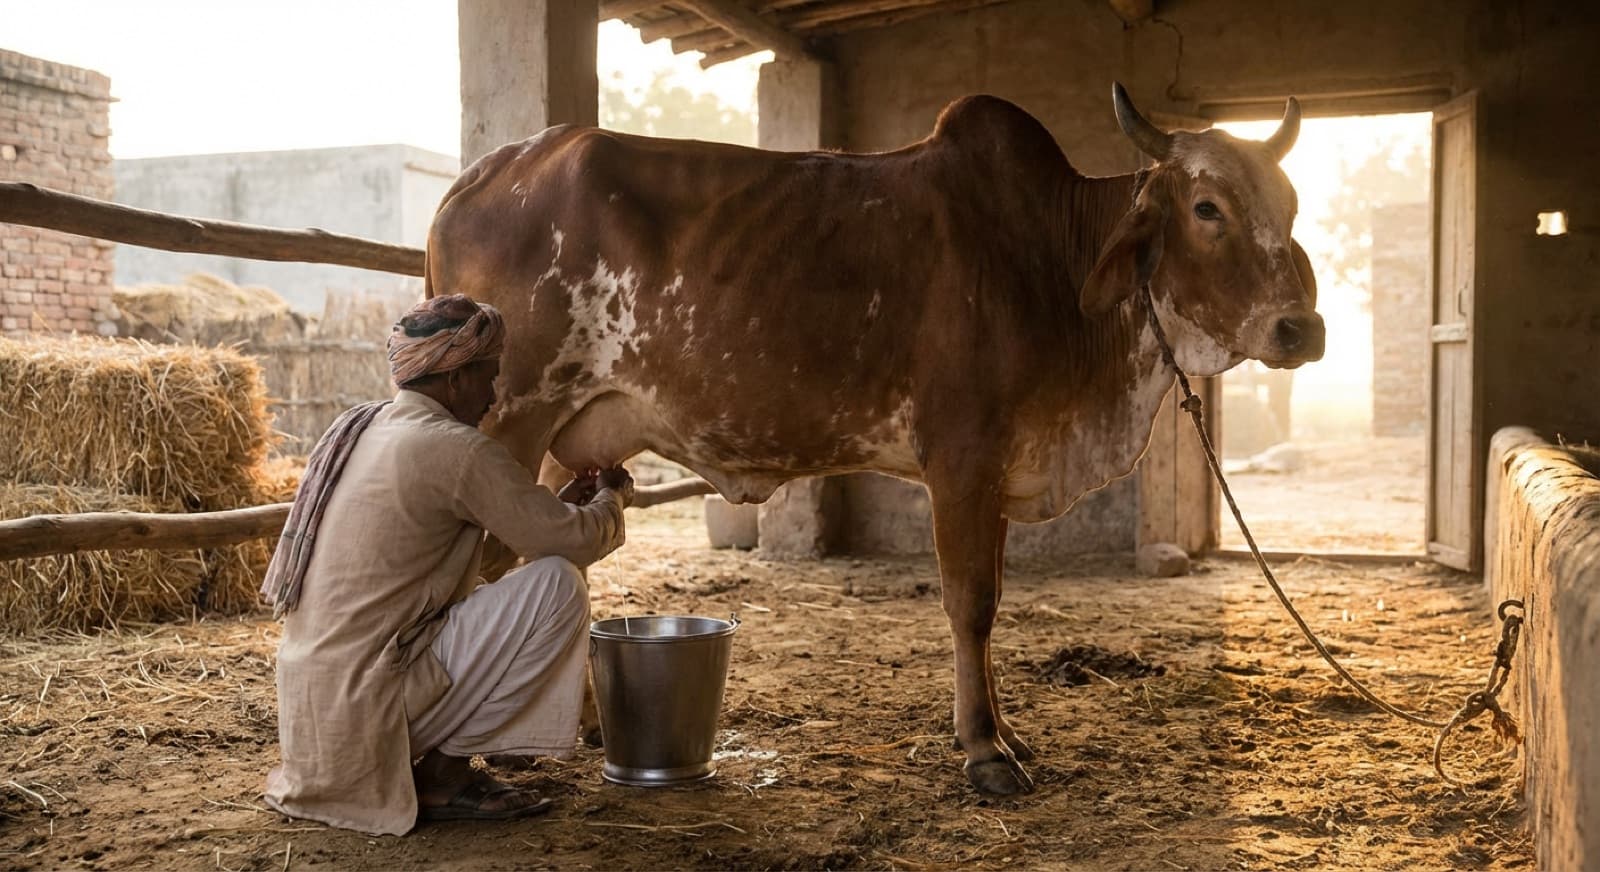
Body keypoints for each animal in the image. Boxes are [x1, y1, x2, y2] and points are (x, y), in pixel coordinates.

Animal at [423, 84, 1324, 796]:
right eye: (1207, 208)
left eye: (1289, 206)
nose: (1301, 329)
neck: (1051, 262)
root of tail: (482, 175)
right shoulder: (962, 459)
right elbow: (972, 602)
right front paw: (984, 750)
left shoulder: (997, 474)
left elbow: (992, 599)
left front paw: (1004, 731)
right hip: (511, 419)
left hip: (550, 438)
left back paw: (583, 726)